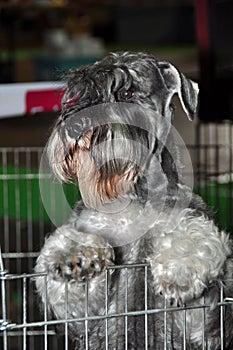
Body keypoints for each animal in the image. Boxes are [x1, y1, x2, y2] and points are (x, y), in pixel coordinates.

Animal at [35, 50, 233, 348]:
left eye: (127, 92)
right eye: (80, 93)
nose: (75, 125)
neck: (139, 193)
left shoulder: (202, 323)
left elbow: (195, 239)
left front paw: (180, 268)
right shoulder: (86, 315)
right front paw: (72, 255)